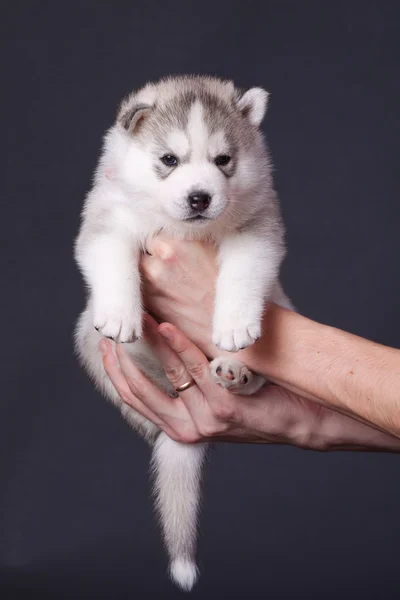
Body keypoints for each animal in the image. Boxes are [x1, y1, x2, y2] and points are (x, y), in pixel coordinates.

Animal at [75, 76, 292, 592]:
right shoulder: (106, 217)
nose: (200, 198)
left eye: (224, 159)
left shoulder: (258, 228)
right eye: (169, 159)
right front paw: (121, 313)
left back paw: (235, 371)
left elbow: (244, 270)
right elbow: (111, 254)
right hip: (86, 339)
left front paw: (233, 326)